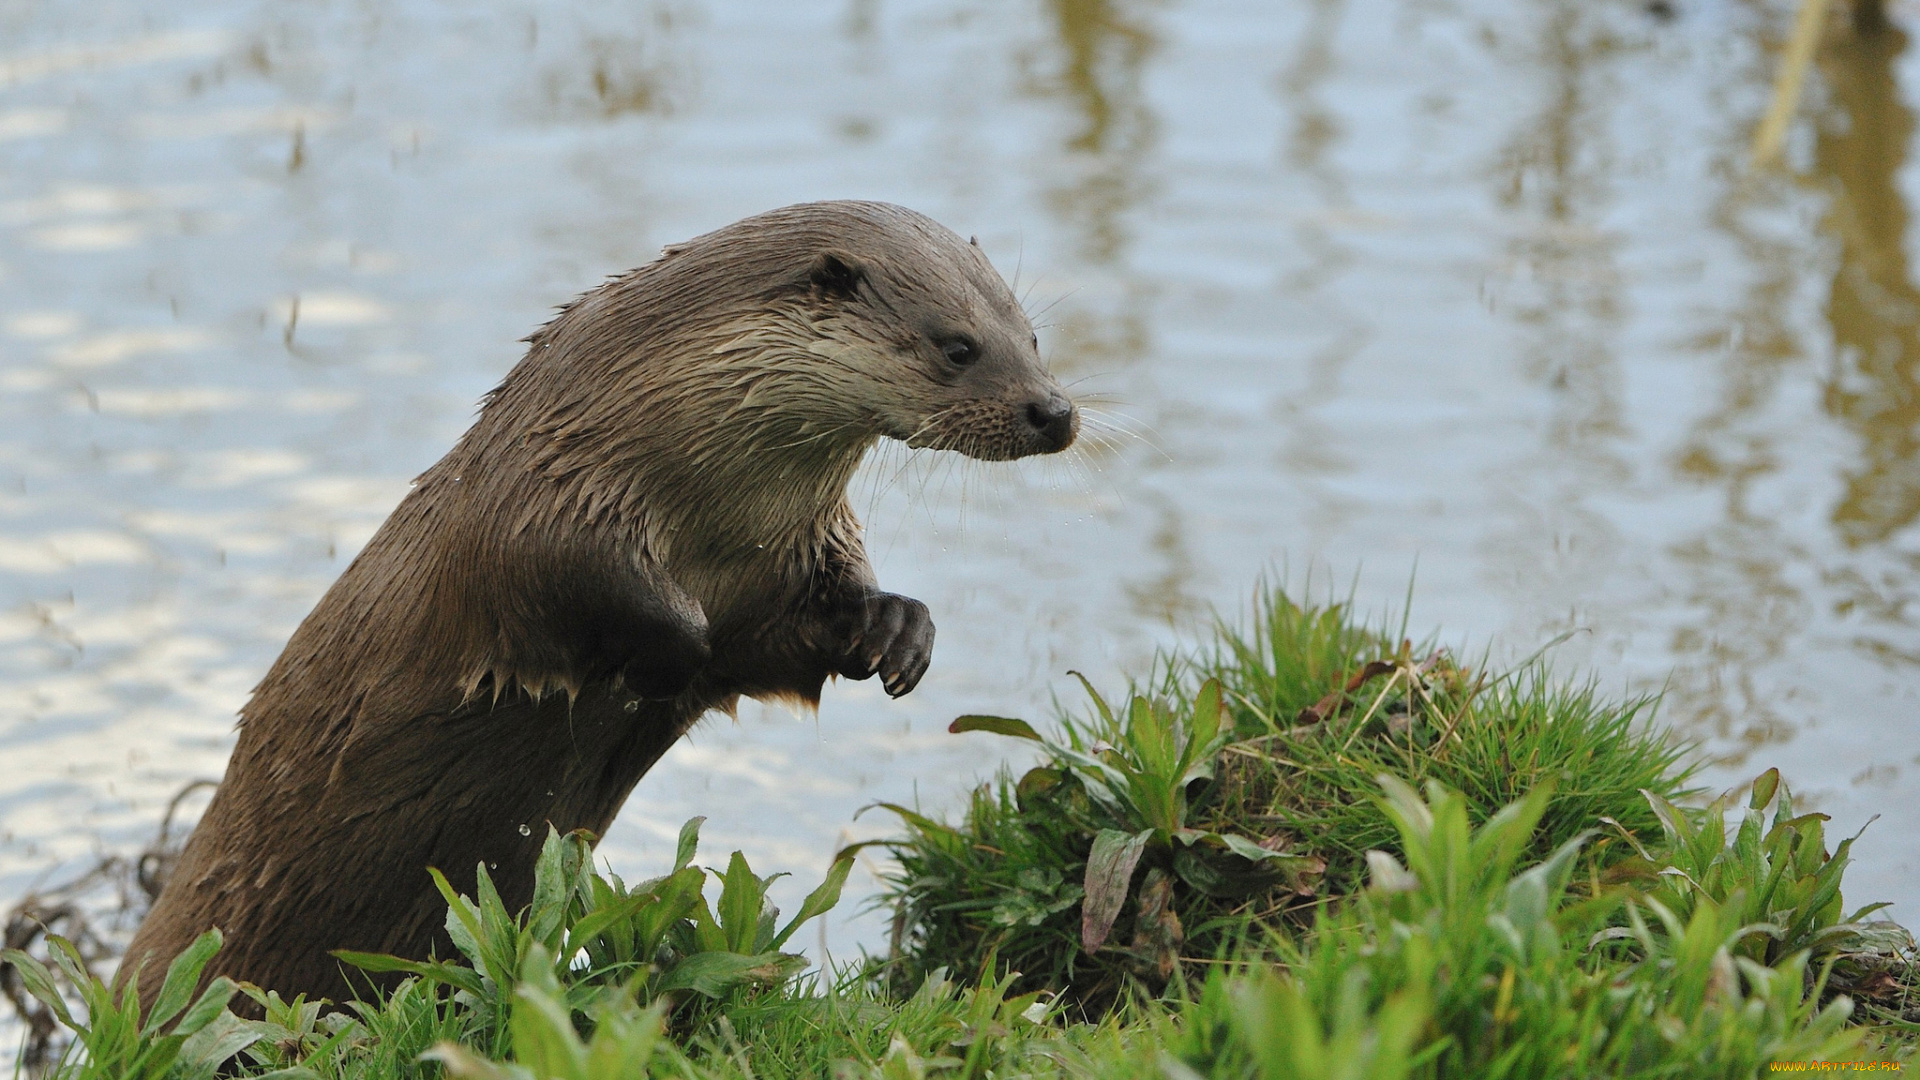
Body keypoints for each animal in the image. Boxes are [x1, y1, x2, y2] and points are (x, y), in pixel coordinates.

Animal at [120, 199, 1082, 999]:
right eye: (957, 345)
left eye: (1032, 337)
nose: (1055, 412)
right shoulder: (542, 508)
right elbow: (578, 596)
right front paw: (667, 657)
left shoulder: (793, 555)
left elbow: (786, 641)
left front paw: (896, 629)